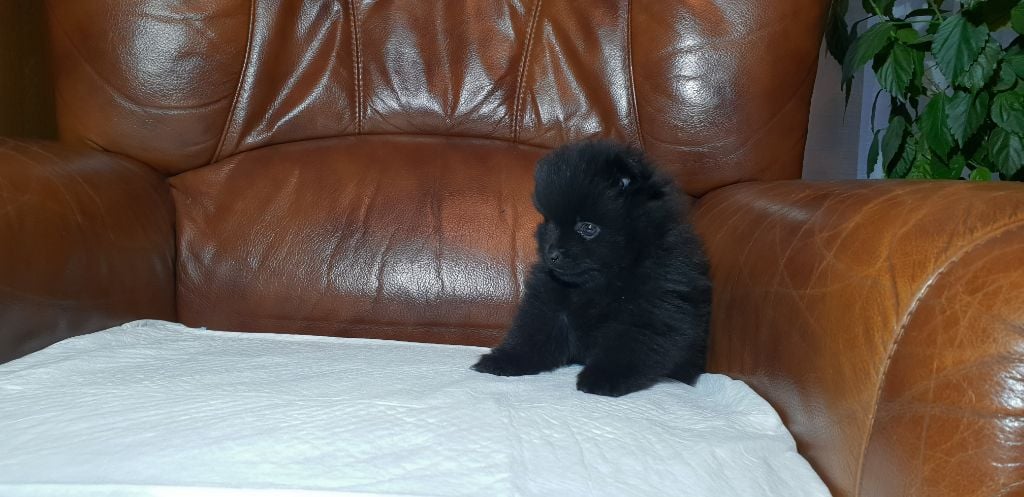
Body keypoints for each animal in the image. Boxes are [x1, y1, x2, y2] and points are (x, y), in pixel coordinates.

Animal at [471, 141, 711, 397]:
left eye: (587, 227)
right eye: (550, 223)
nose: (552, 254)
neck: (600, 282)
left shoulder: (652, 305)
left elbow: (628, 343)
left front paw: (603, 377)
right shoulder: (550, 304)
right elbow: (532, 333)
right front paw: (505, 359)